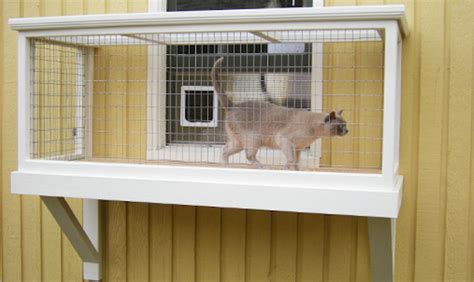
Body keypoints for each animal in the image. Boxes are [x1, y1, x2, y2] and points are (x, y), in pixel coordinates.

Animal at [211, 57, 348, 170]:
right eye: (340, 126)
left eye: (345, 124)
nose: (347, 131)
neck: (315, 133)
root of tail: (233, 105)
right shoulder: (285, 141)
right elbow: (291, 160)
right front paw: (286, 169)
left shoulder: (297, 148)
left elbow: (296, 162)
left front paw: (298, 171)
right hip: (253, 139)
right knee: (249, 156)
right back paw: (262, 167)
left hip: (238, 143)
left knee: (225, 150)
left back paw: (226, 167)